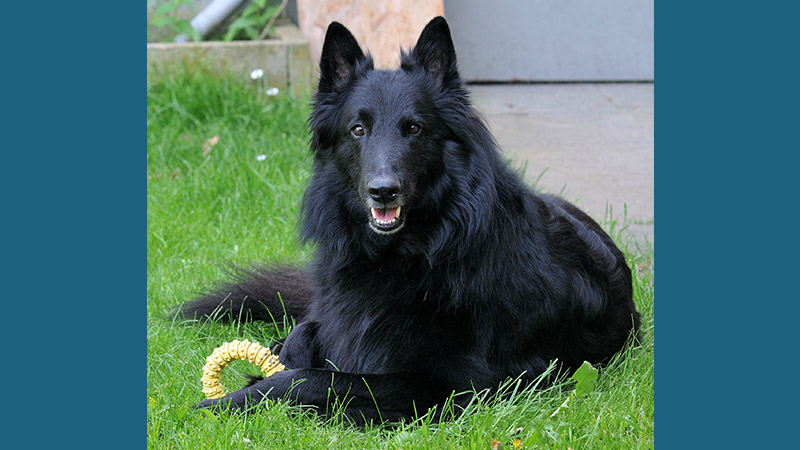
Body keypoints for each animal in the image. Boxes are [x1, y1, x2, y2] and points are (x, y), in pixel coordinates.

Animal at [180, 16, 636, 426]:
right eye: (357, 129)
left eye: (414, 128)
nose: (383, 191)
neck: (406, 255)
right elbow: (304, 336)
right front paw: (271, 365)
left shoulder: (448, 386)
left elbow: (313, 379)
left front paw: (225, 402)